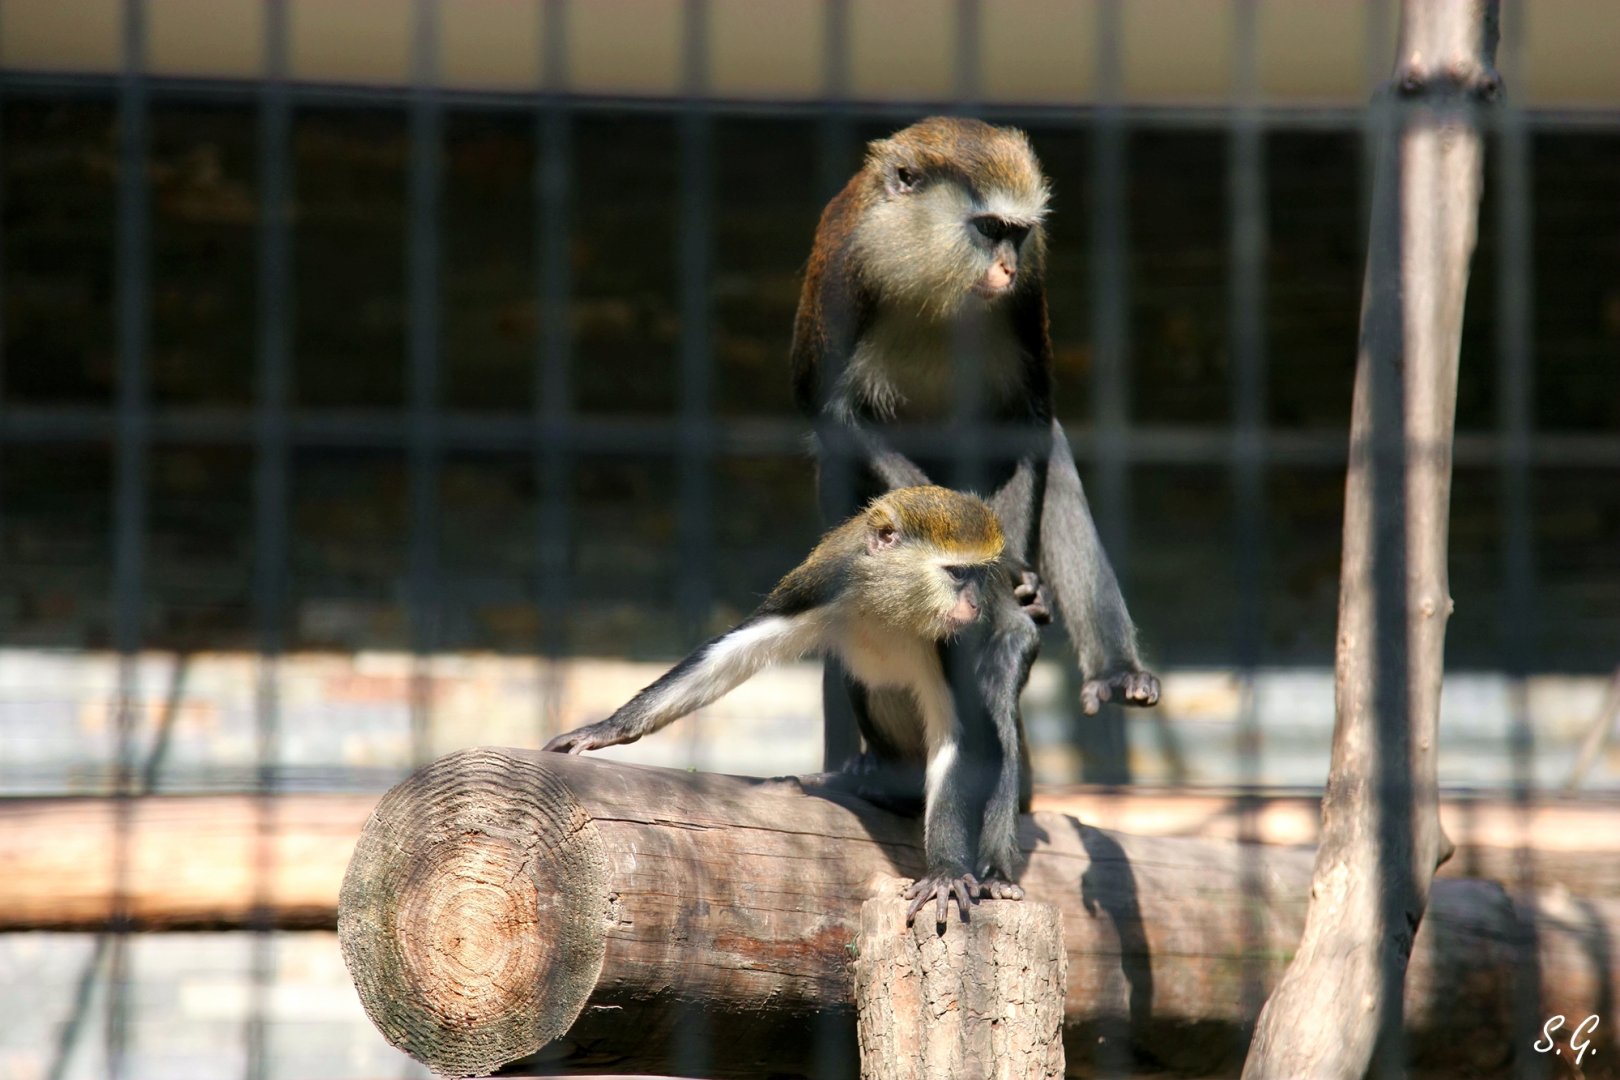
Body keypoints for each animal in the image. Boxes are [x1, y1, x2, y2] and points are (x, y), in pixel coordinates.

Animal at [544, 485, 1031, 925]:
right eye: (957, 574)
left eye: (979, 576)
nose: (974, 604)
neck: (890, 603)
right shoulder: (822, 587)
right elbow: (729, 655)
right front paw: (608, 728)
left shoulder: (950, 648)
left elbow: (960, 742)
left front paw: (946, 871)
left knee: (999, 727)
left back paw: (995, 873)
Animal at [791, 116, 1160, 805]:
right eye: (988, 229)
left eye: (1017, 233)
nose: (1008, 267)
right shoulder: (845, 265)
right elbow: (836, 415)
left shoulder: (1031, 290)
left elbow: (1031, 418)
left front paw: (1013, 580)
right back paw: (855, 767)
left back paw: (1116, 672)